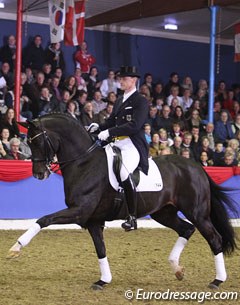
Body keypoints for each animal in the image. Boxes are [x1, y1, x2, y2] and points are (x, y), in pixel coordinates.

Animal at [7, 113, 238, 288]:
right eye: (27, 143)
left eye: (37, 141)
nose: (38, 174)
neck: (84, 163)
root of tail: (197, 166)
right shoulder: (93, 220)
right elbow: (100, 249)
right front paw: (103, 280)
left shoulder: (79, 211)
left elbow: (44, 219)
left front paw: (16, 247)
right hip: (164, 212)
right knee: (186, 229)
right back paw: (177, 268)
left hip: (196, 212)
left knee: (214, 238)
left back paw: (217, 280)